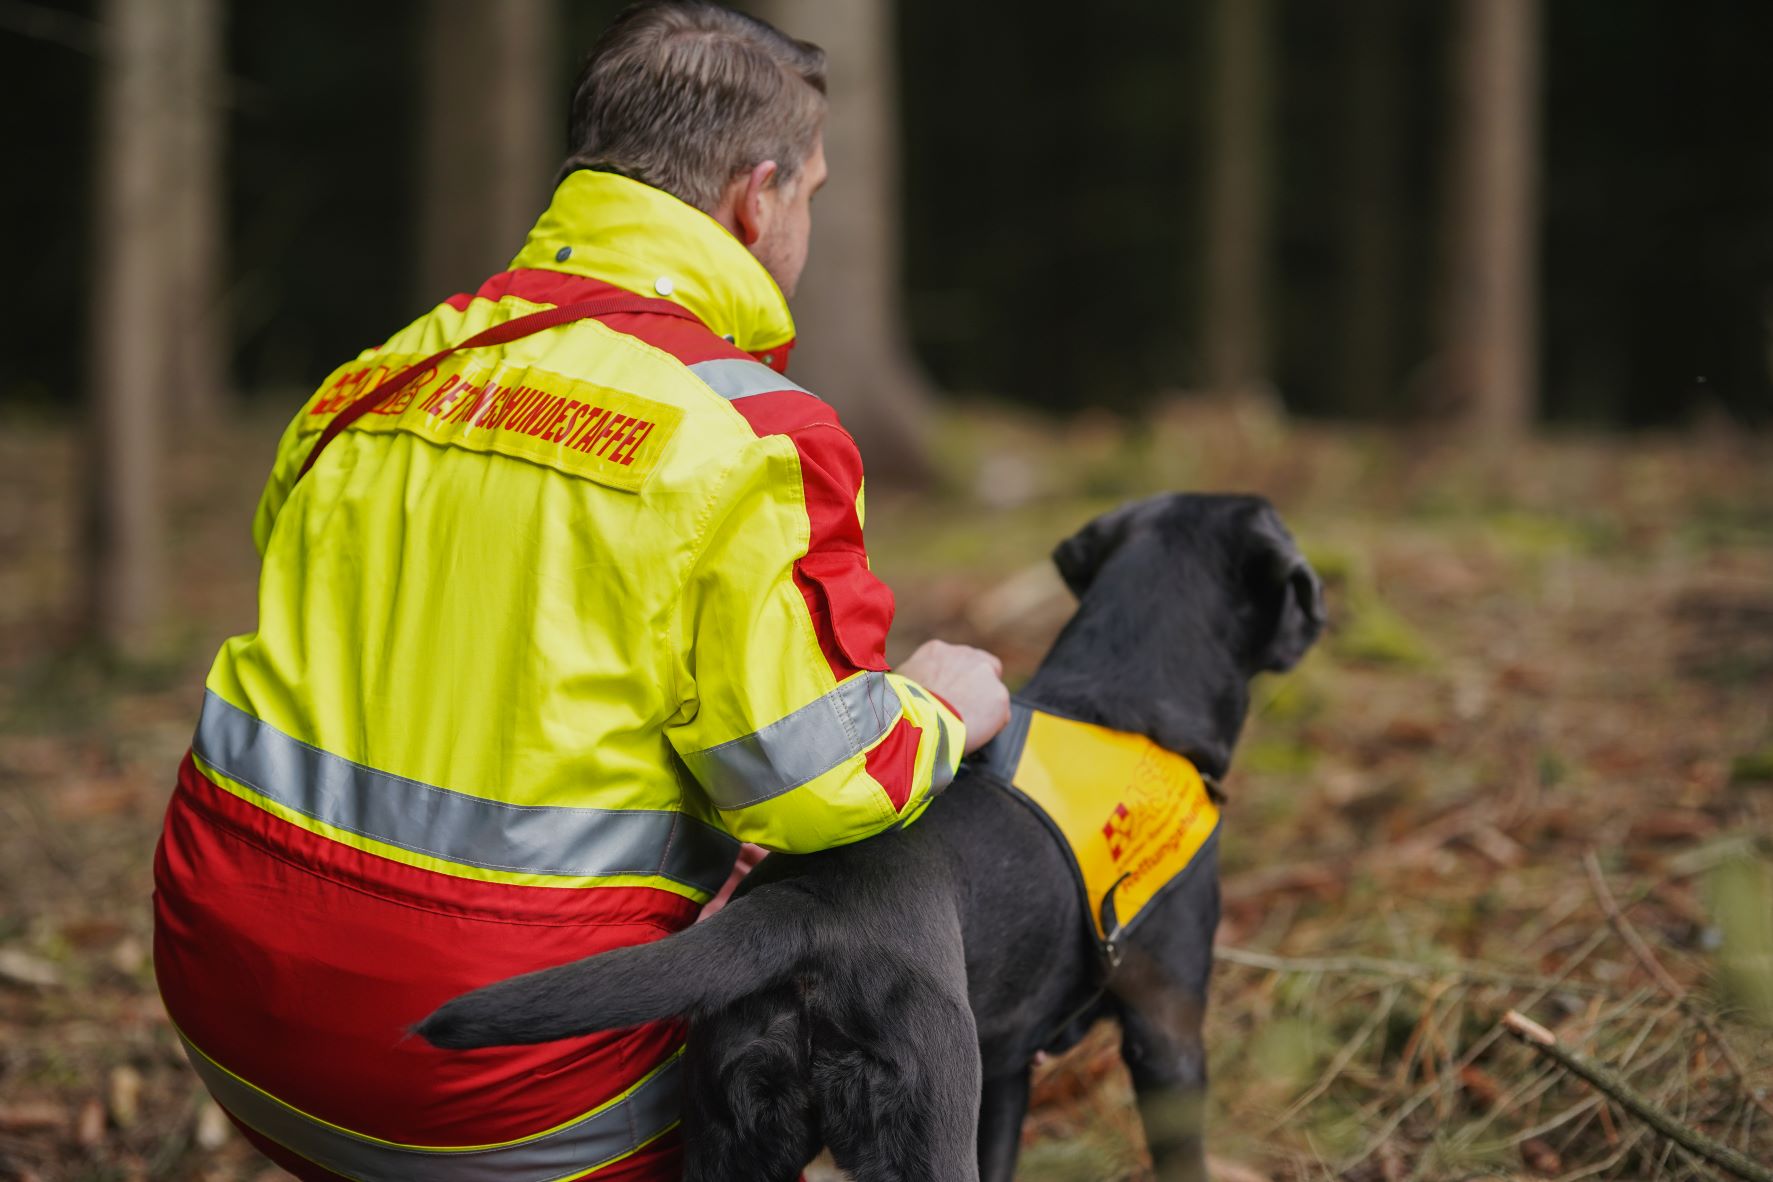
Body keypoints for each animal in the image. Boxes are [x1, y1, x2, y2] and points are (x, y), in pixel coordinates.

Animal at [421, 496, 1326, 1182]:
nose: (1321, 610)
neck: (1123, 708)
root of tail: (804, 909)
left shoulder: (1008, 1070)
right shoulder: (1166, 1032)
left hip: (730, 1136)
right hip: (926, 1120)